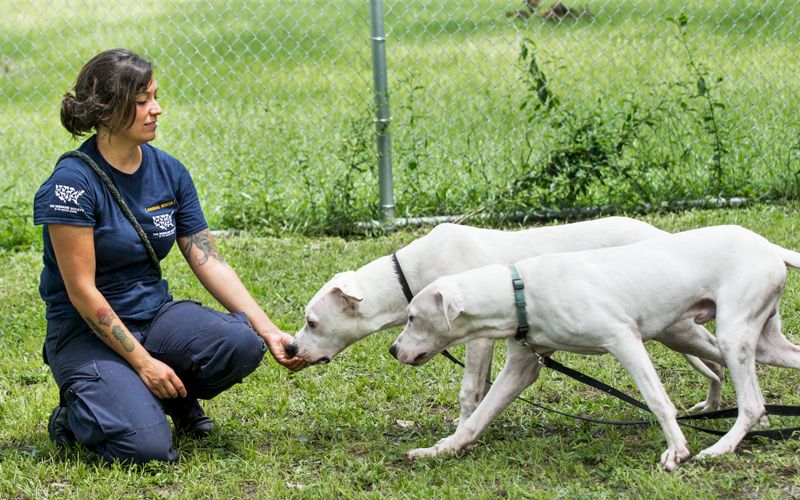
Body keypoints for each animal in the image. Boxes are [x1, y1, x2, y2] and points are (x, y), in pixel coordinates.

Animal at [290, 216, 724, 430]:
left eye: (312, 322)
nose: (291, 347)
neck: (408, 275)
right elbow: (485, 391)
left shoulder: (476, 339)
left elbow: (469, 390)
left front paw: (461, 427)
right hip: (673, 330)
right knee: (715, 364)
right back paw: (712, 406)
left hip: (676, 328)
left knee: (720, 355)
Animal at [390, 225, 800, 470]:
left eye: (412, 317)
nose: (394, 351)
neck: (520, 290)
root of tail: (766, 244)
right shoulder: (522, 366)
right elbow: (478, 418)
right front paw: (439, 450)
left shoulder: (624, 340)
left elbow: (657, 401)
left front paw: (676, 450)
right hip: (763, 342)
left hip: (732, 334)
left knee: (752, 404)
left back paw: (721, 447)